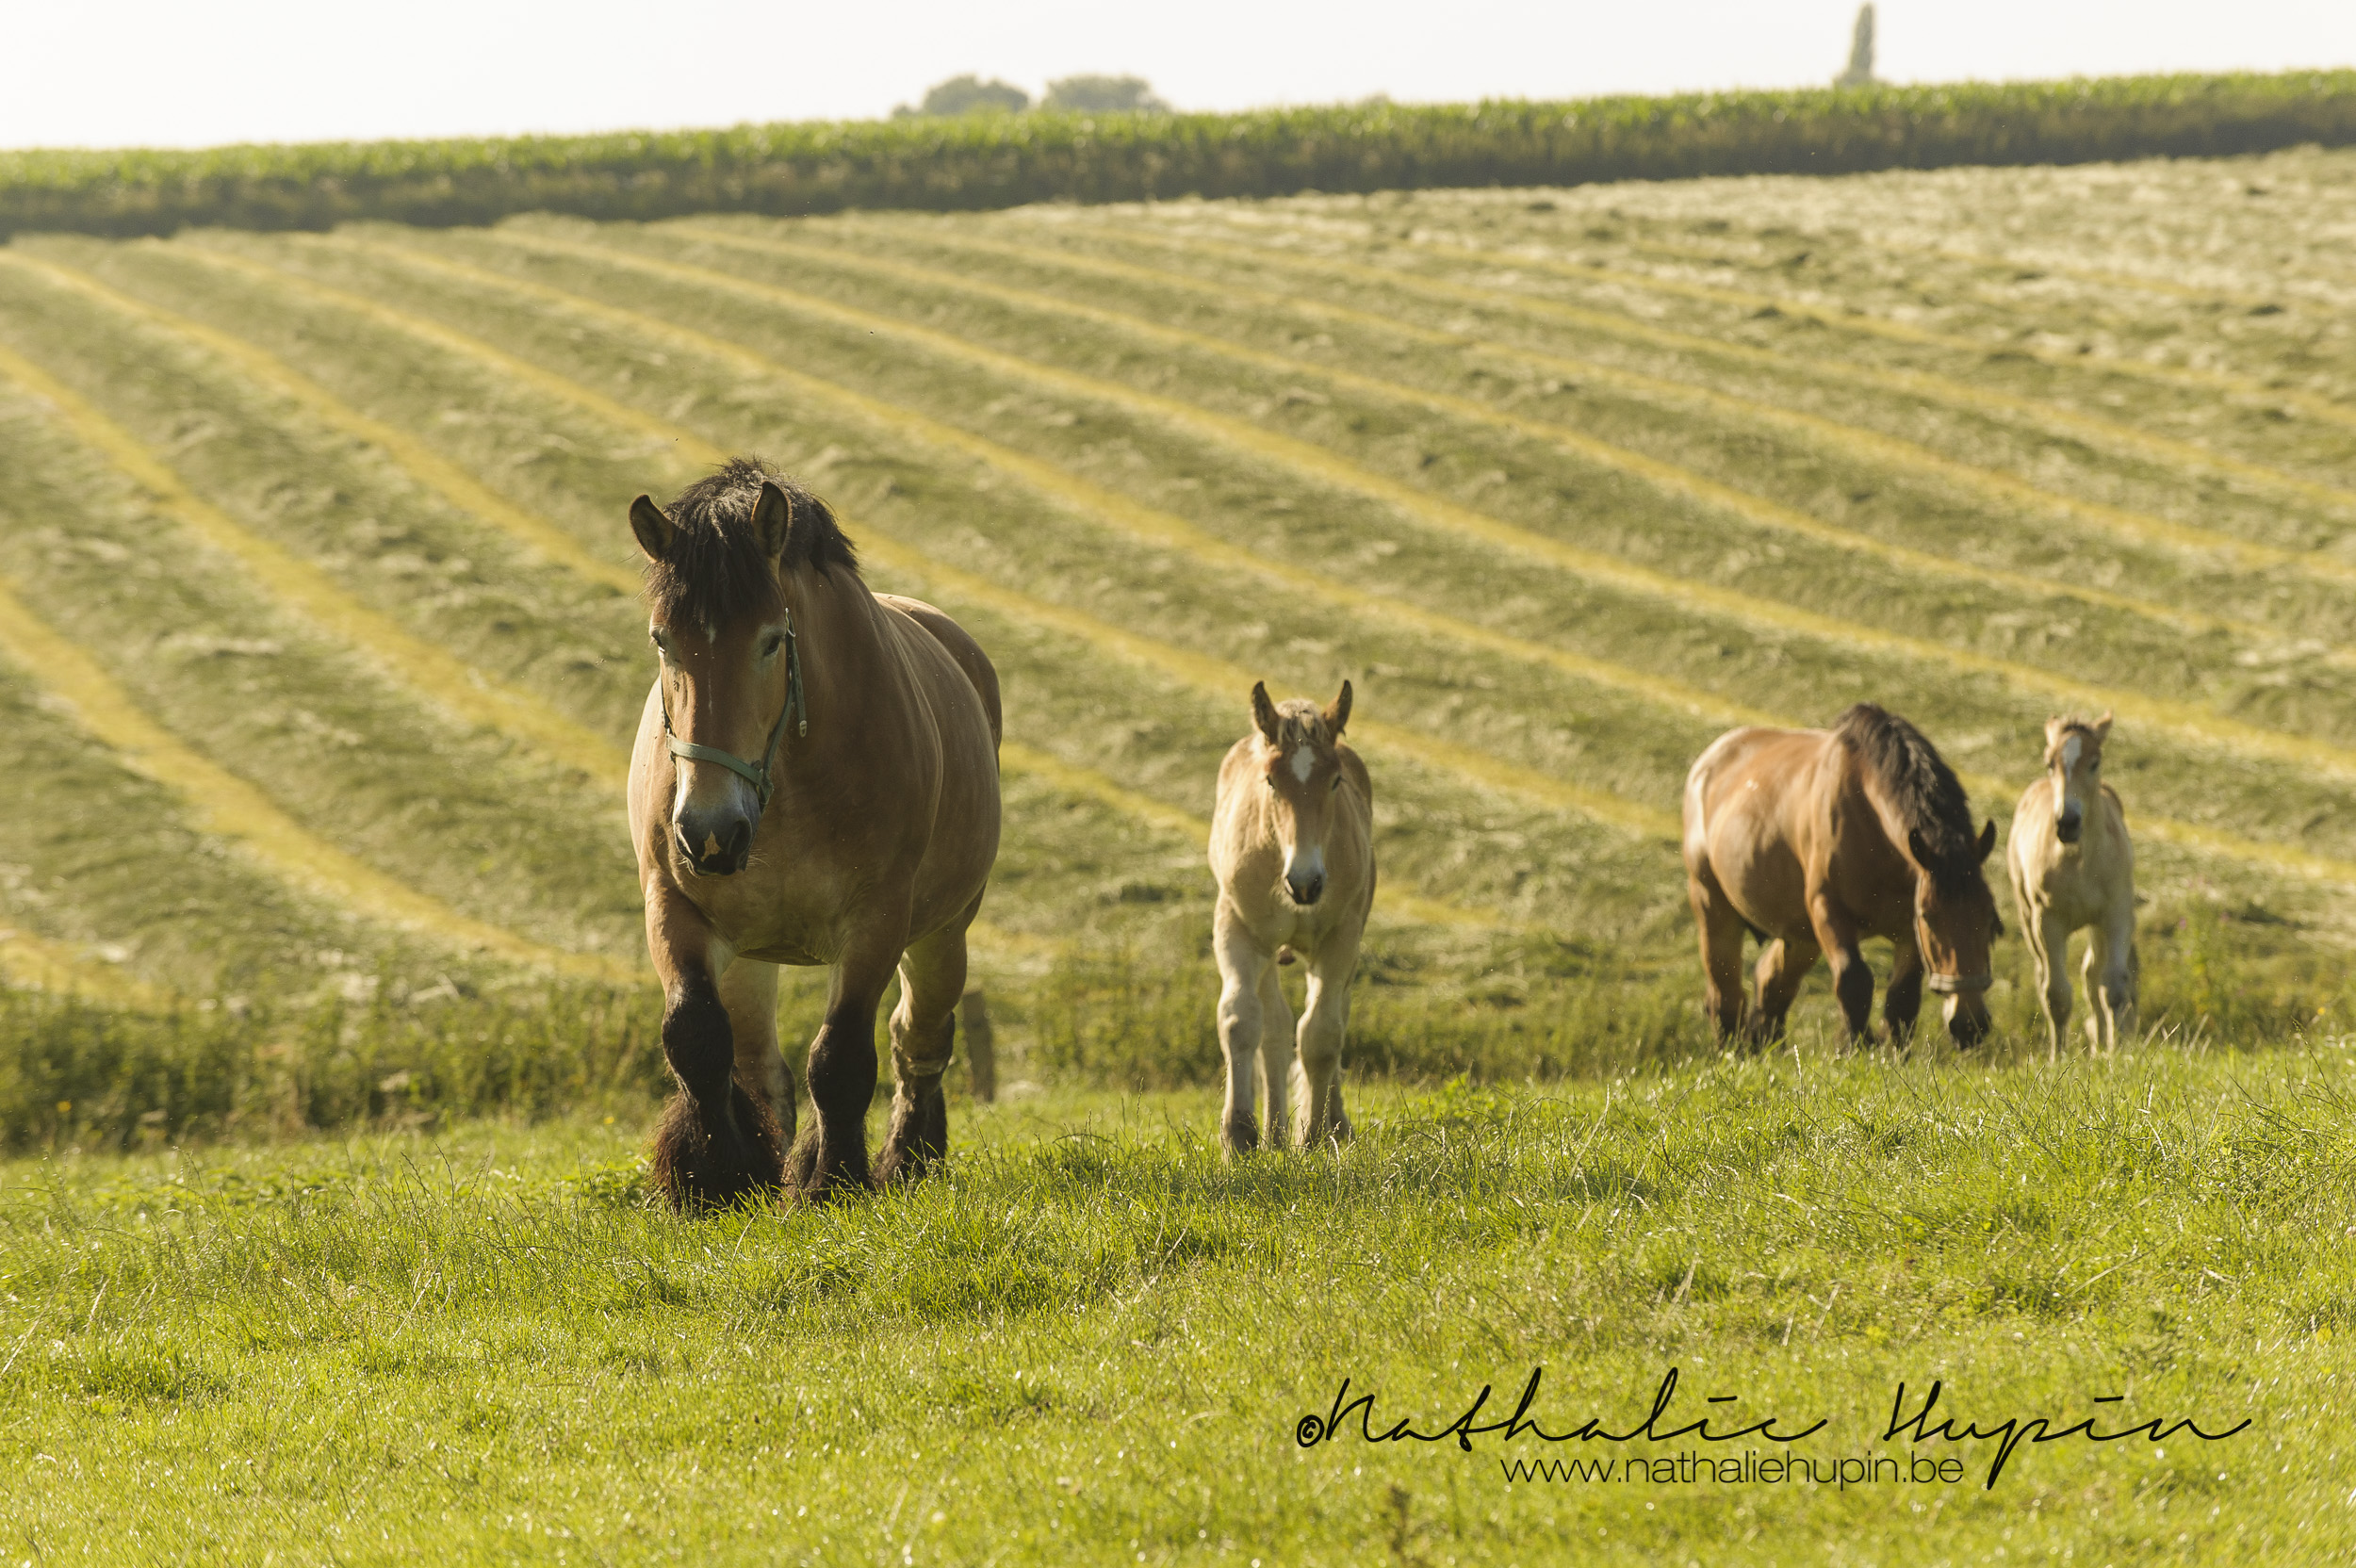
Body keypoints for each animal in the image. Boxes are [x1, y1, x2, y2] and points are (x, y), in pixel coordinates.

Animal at [622, 459, 999, 1200]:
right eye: (662, 639)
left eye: (772, 640)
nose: (710, 831)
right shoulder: (674, 906)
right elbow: (697, 1038)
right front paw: (721, 1175)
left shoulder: (877, 920)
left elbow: (841, 1058)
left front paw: (835, 1181)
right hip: (750, 952)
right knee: (762, 1068)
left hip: (944, 933)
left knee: (919, 1041)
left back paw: (906, 1158)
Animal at [1206, 673, 1376, 1149]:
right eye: (1270, 782)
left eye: (1335, 781)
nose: (1306, 882)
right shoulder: (1238, 928)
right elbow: (1241, 1020)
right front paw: (1240, 1136)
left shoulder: (1342, 937)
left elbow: (1321, 1032)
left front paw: (1315, 1136)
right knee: (1275, 1029)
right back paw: (1274, 1133)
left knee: (1334, 1016)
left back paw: (1331, 1126)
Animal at [1687, 701, 1998, 1045]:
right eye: (1930, 917)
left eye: (1990, 918)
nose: (1969, 1024)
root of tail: (1708, 761)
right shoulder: (1828, 909)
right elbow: (1854, 980)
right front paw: (1854, 1045)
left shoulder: (1908, 929)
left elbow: (1902, 998)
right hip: (1713, 907)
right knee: (1725, 993)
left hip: (1800, 935)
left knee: (1771, 983)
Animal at [2007, 715, 2139, 1054]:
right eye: (2049, 763)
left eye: (2095, 762)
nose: (2067, 823)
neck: (2079, 861)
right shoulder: (2047, 920)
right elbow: (2056, 994)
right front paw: (2058, 1056)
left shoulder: (2116, 913)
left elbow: (2113, 986)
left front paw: (2116, 1051)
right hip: (2027, 919)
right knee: (2046, 977)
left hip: (2095, 925)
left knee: (2092, 976)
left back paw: (2099, 1045)